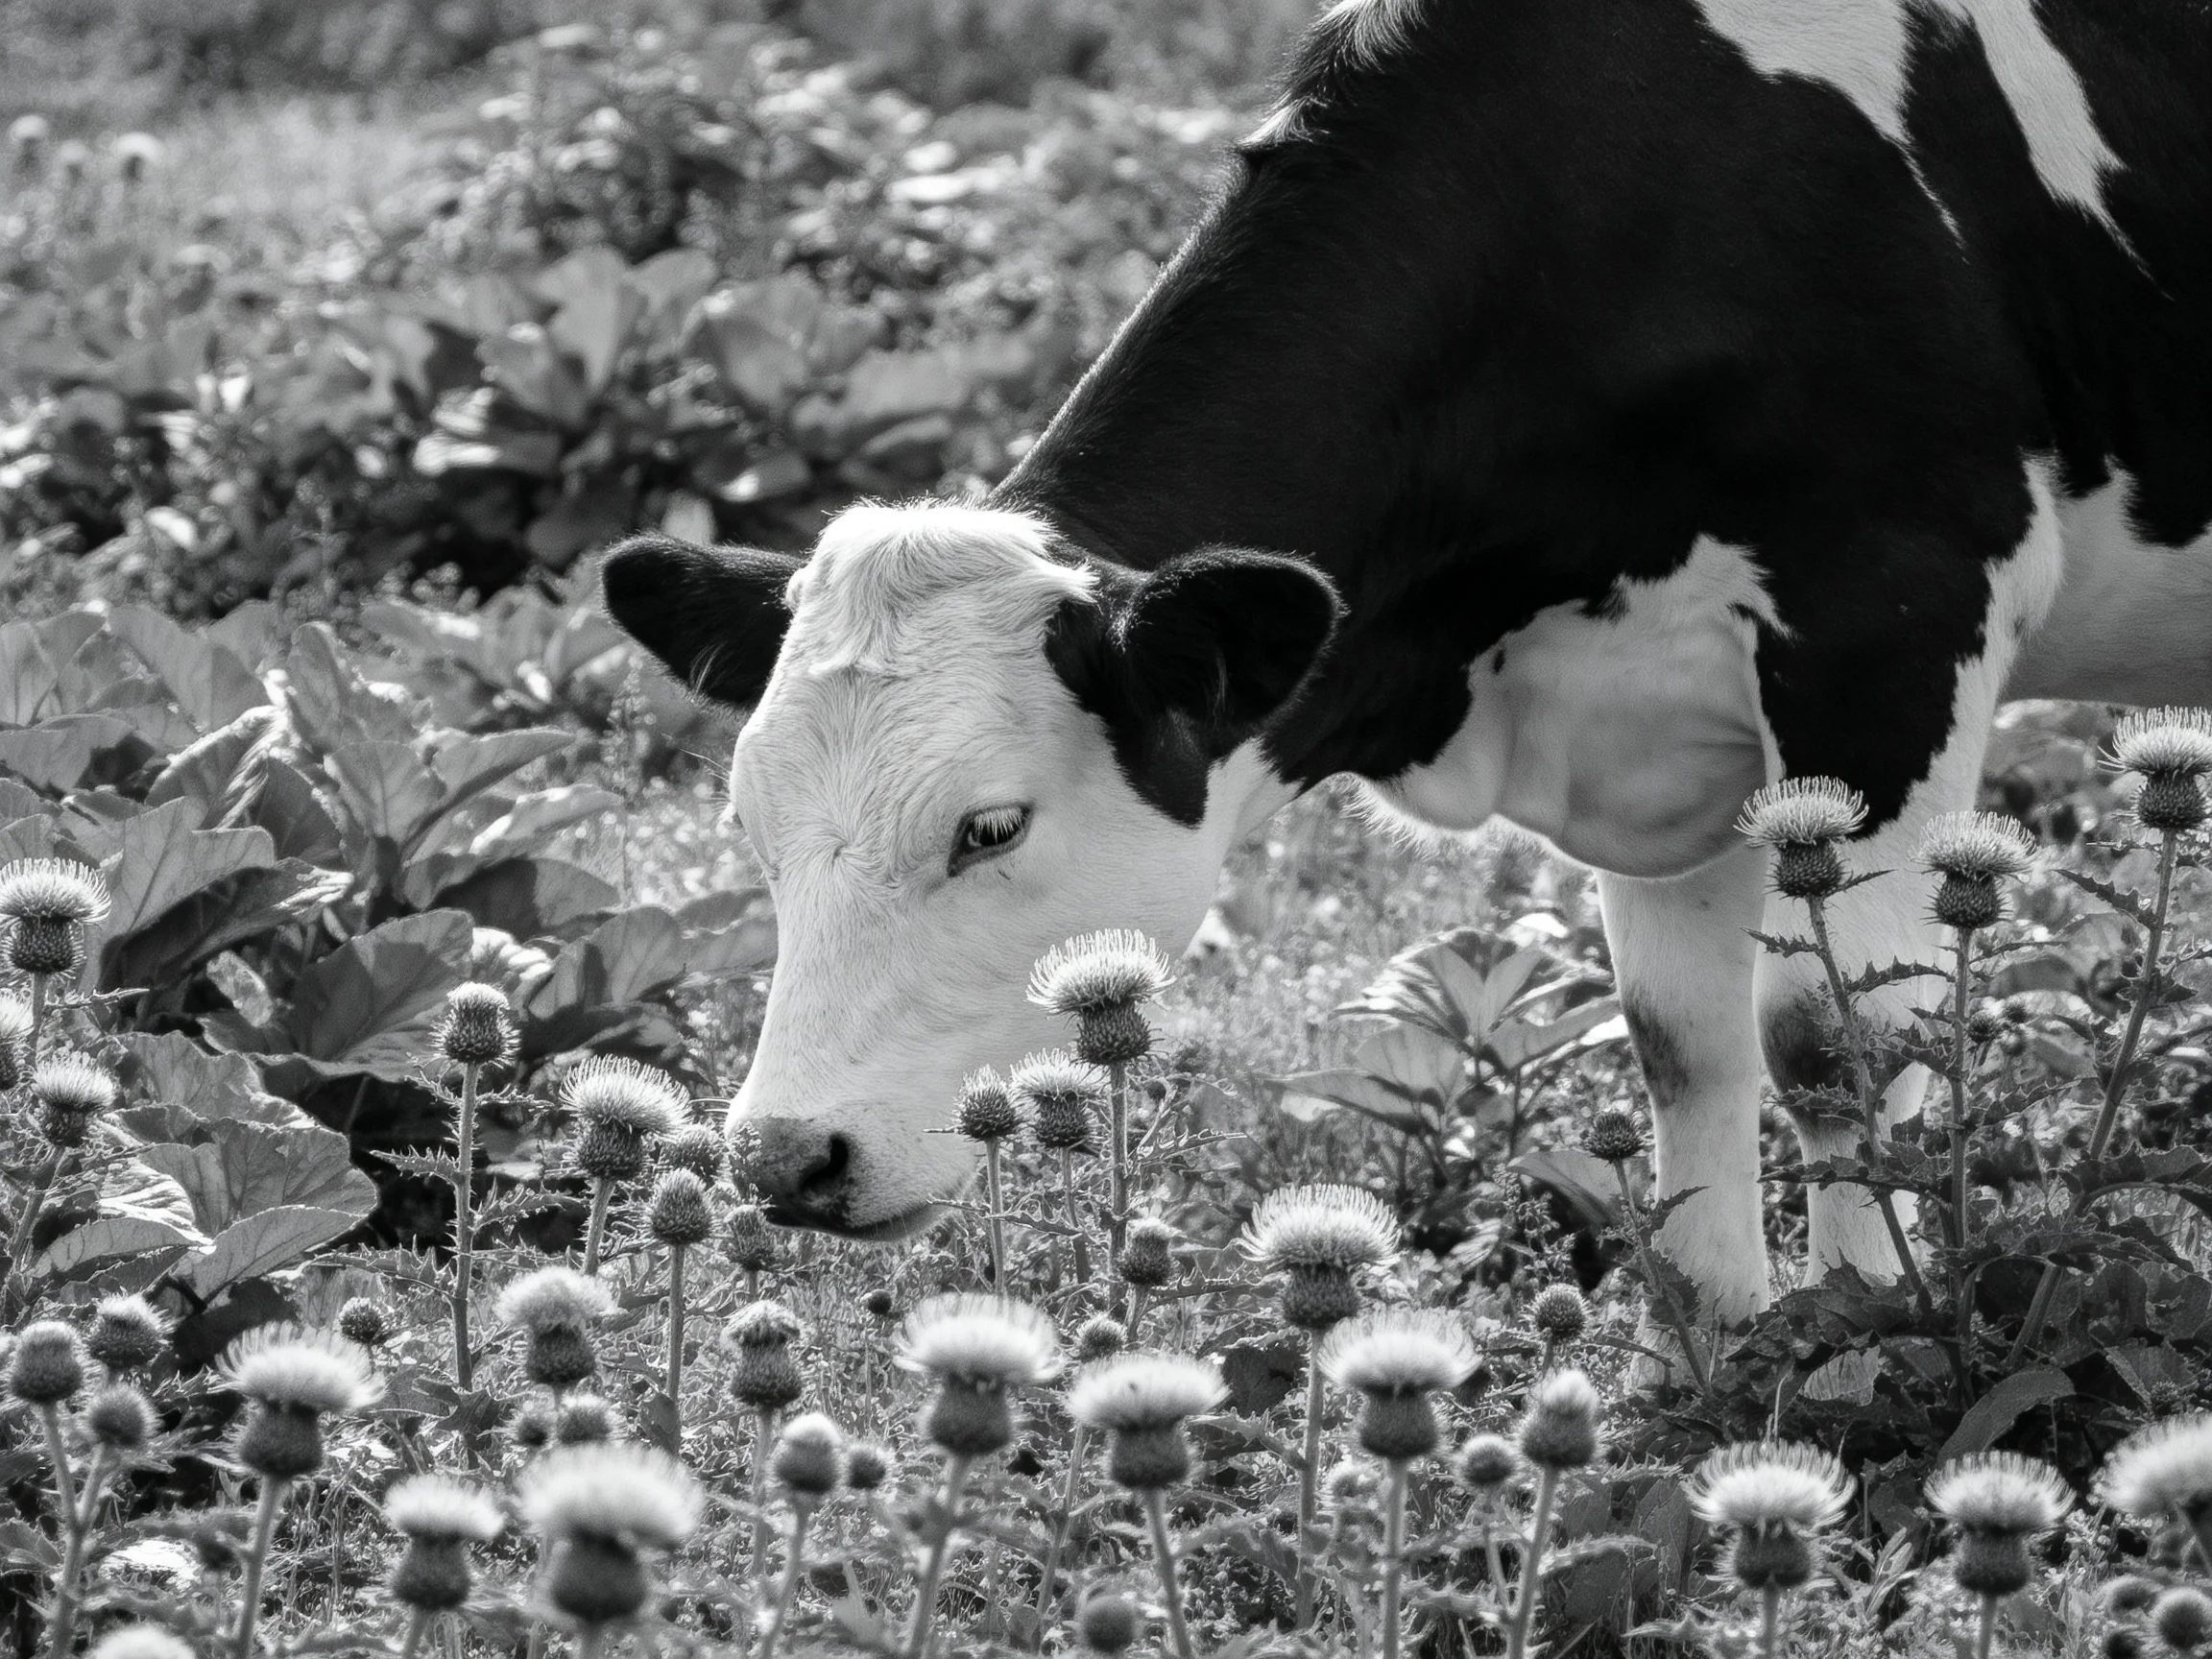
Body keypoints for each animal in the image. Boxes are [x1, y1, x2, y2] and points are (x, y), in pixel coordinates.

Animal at [603, 0, 2212, 1325]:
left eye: (990, 827)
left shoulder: (1895, 622)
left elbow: (1832, 1033)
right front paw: (1712, 1361)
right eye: (747, 826)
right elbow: (1683, 1039)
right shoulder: (1662, 722)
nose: (784, 1156)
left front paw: (1868, 1341)